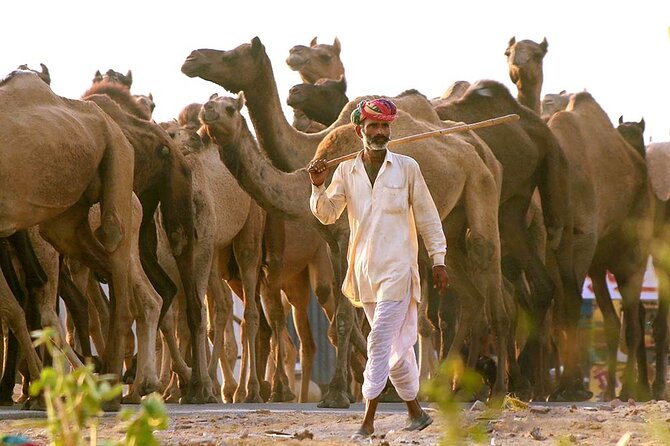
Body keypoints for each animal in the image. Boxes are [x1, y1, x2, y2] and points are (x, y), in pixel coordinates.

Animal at [0, 70, 135, 409]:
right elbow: (13, 307)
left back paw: (111, 390)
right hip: (64, 223)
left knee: (114, 243)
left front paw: (42, 391)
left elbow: (13, 307)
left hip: (118, 157)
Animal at [545, 92, 653, 401]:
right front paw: (563, 386)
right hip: (598, 263)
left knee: (632, 322)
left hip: (634, 256)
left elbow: (569, 304)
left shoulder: (582, 238)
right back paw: (610, 392)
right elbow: (558, 311)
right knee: (614, 320)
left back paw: (627, 390)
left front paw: (571, 387)